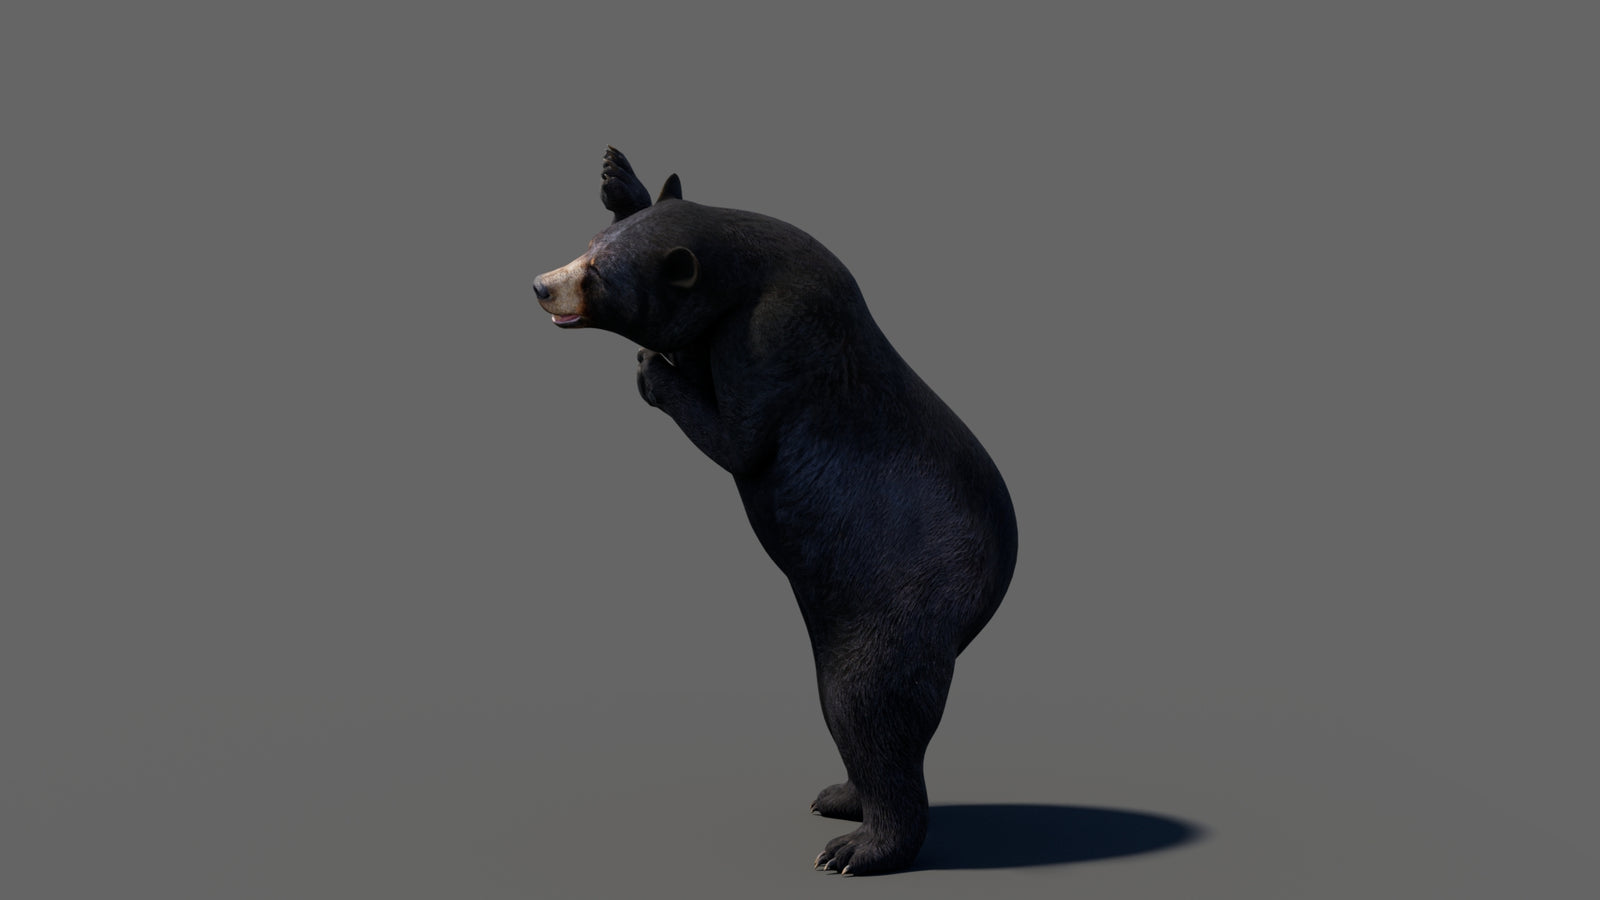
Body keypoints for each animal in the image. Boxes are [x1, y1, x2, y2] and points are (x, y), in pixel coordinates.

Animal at [533, 147, 1018, 875]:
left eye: (598, 277)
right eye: (587, 246)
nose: (540, 285)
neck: (754, 268)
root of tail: (991, 592)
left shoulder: (778, 334)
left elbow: (742, 438)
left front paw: (653, 372)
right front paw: (620, 178)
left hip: (903, 605)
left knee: (868, 707)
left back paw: (860, 847)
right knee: (849, 713)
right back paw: (842, 796)